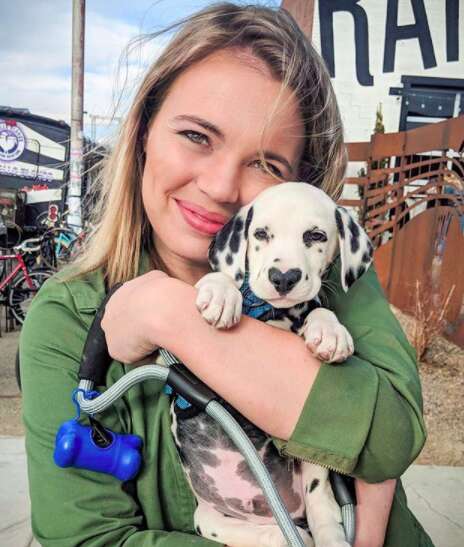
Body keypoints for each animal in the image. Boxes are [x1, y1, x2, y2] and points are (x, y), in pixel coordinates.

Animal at [170, 184, 374, 547]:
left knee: (321, 510)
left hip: (312, 473)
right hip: (206, 517)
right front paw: (222, 292)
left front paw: (330, 331)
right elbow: (226, 277)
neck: (271, 312)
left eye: (316, 235)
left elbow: (318, 308)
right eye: (261, 234)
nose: (283, 277)